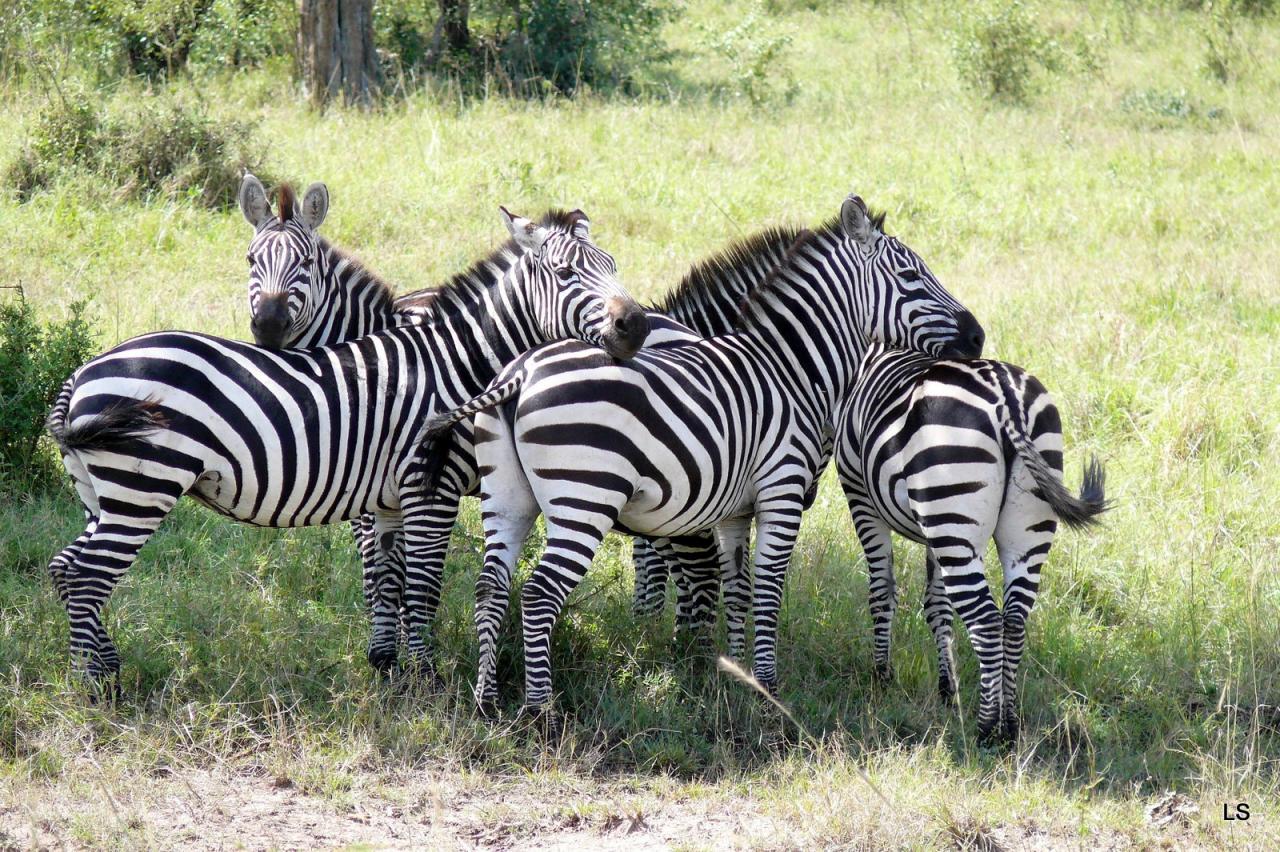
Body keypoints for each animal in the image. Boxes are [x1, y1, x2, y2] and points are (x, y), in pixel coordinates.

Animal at [43, 199, 645, 690]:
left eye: (614, 265)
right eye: (566, 273)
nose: (635, 326)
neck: (453, 364)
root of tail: (81, 373)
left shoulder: (389, 497)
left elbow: (390, 580)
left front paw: (393, 668)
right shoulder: (431, 489)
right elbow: (420, 587)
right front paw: (427, 681)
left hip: (101, 494)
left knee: (66, 568)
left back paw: (102, 669)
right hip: (143, 489)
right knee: (88, 576)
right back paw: (96, 689)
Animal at [424, 194, 983, 711]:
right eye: (911, 275)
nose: (978, 336)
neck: (791, 368)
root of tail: (521, 371)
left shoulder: (735, 511)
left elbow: (736, 587)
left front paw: (735, 675)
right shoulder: (781, 493)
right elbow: (768, 588)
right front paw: (769, 689)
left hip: (507, 498)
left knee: (491, 587)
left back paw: (487, 701)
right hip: (585, 498)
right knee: (540, 595)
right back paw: (540, 710)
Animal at [834, 342, 1105, 741]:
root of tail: (1006, 395)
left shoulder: (860, 496)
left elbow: (882, 590)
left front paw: (881, 676)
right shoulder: (933, 531)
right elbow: (937, 604)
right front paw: (948, 689)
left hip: (952, 507)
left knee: (987, 622)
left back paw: (987, 730)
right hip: (1012, 529)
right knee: (1014, 619)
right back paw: (1009, 724)